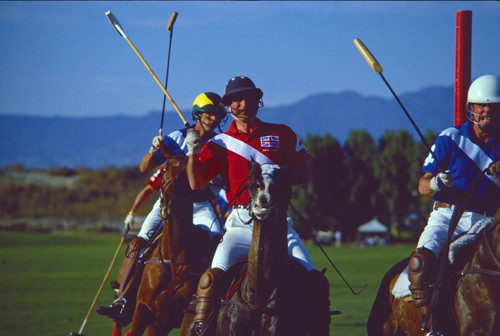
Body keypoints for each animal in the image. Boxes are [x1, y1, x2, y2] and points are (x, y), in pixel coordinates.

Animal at [118, 156, 216, 336]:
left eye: (186, 174)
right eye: (164, 171)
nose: (168, 203)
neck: (172, 258)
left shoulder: (167, 320)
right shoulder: (143, 310)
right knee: (137, 243)